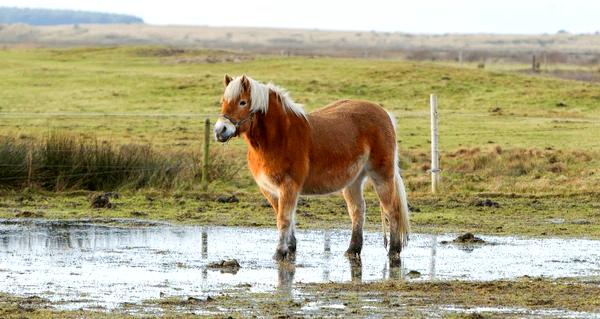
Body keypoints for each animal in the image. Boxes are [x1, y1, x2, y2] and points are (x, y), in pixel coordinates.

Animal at [213, 74, 410, 262]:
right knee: (357, 210)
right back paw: (352, 250)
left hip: (382, 176)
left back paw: (394, 251)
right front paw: (290, 248)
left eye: (242, 102)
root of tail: (384, 113)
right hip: (353, 181)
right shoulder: (269, 190)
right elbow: (286, 217)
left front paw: (279, 252)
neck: (280, 137)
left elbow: (284, 219)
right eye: (223, 101)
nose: (220, 130)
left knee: (391, 209)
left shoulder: (288, 186)